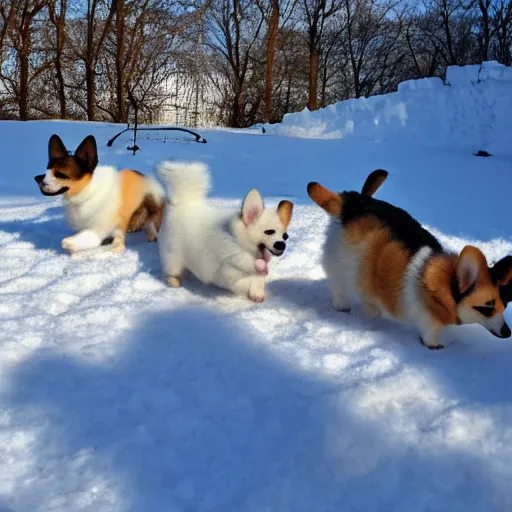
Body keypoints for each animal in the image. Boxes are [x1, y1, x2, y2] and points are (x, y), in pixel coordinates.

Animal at [156, 162, 294, 302]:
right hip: (172, 255)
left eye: (285, 236)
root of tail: (185, 200)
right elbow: (241, 282)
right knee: (171, 270)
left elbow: (258, 280)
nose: (282, 245)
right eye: (269, 232)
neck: (240, 245)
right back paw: (173, 281)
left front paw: (257, 293)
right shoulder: (226, 272)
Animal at [308, 171, 512, 348]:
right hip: (338, 261)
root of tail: (349, 203)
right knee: (339, 284)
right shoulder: (428, 323)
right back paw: (348, 306)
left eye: (504, 304)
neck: (443, 281)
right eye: (487, 307)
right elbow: (430, 337)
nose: (507, 332)